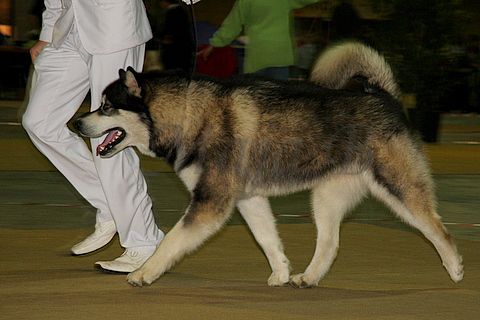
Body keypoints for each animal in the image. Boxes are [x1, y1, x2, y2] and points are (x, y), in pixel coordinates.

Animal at [74, 40, 464, 288]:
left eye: (106, 107)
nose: (76, 124)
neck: (188, 115)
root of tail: (383, 96)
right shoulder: (248, 199)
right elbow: (267, 240)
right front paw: (280, 273)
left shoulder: (211, 203)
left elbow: (170, 241)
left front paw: (143, 273)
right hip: (325, 199)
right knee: (330, 242)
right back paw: (308, 278)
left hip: (399, 190)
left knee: (437, 227)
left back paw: (456, 266)